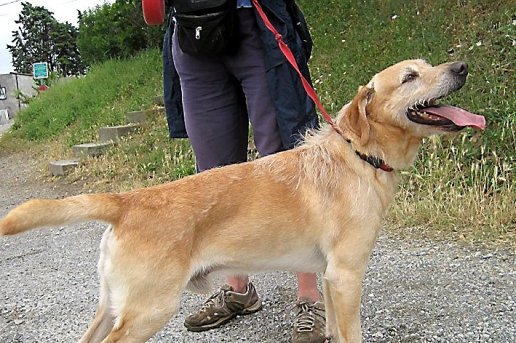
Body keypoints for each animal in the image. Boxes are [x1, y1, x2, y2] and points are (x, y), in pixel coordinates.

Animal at [0, 60, 484, 342]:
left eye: (429, 66)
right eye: (409, 77)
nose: (461, 65)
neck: (359, 156)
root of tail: (127, 200)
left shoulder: (330, 278)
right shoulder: (347, 276)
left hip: (112, 305)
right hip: (147, 311)